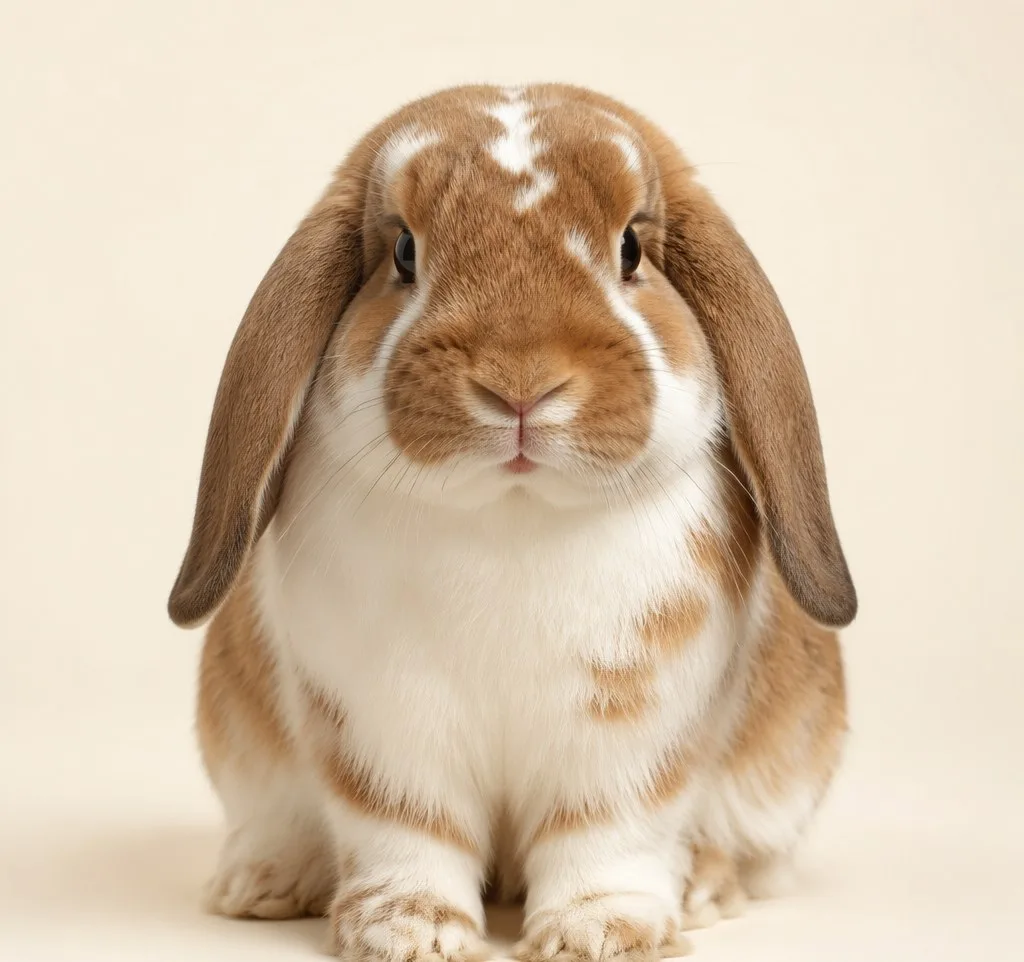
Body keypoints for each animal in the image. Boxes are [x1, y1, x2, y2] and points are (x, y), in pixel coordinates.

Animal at [168, 83, 856, 962]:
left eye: (631, 249)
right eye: (404, 252)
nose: (520, 382)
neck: (510, 518)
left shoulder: (631, 743)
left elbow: (605, 833)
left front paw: (600, 932)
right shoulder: (380, 732)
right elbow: (409, 831)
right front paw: (407, 932)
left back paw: (702, 889)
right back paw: (260, 885)